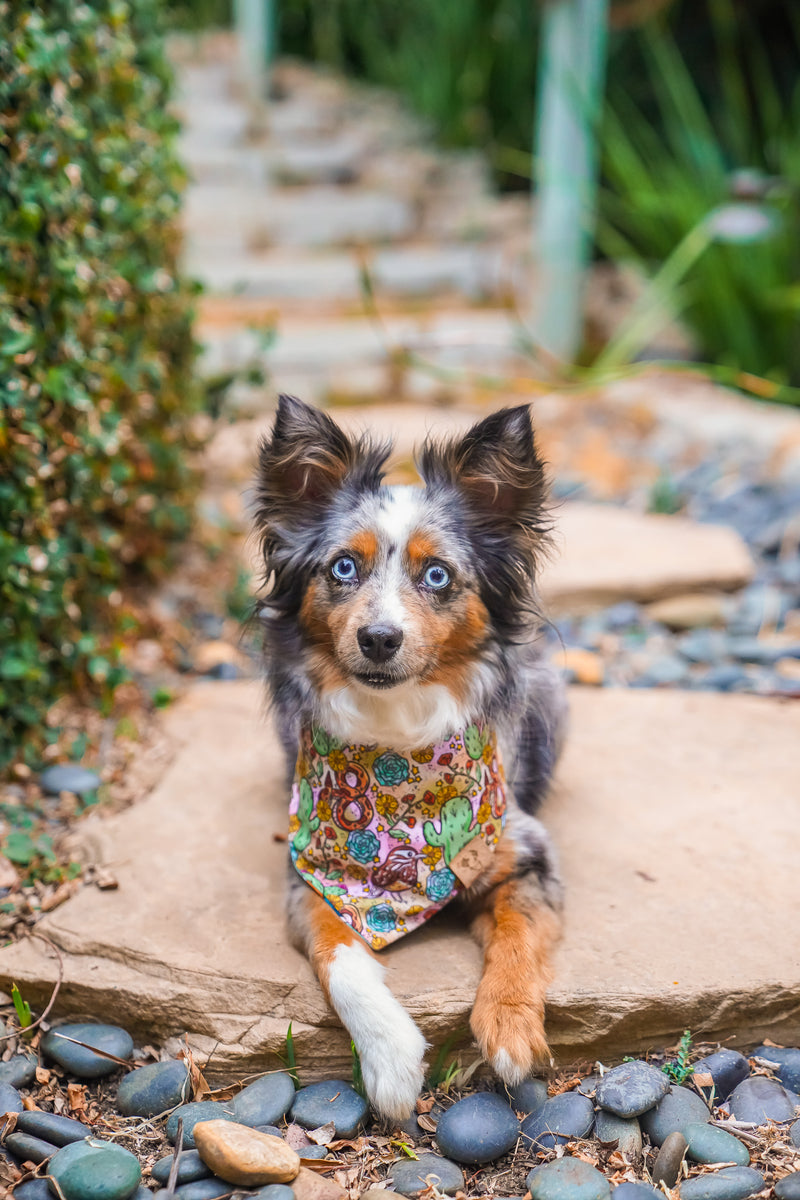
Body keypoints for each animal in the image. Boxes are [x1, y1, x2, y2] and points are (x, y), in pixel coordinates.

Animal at [253, 398, 566, 1118]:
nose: (378, 638)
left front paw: (509, 1027)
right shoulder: (308, 876)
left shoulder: (527, 853)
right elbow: (341, 960)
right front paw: (392, 1062)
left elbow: (517, 937)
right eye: (343, 567)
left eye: (437, 575)